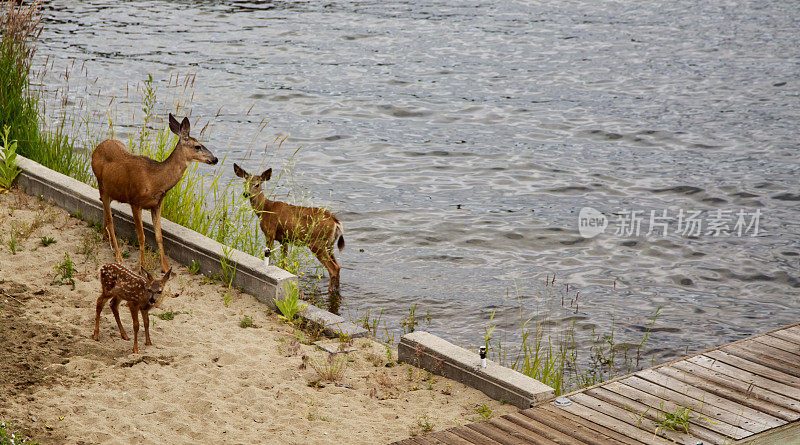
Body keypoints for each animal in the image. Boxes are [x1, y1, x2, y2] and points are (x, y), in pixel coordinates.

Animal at [91, 112, 219, 272]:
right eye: (197, 146)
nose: (215, 159)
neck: (155, 180)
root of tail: (97, 148)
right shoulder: (135, 201)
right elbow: (142, 237)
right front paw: (142, 267)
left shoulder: (157, 204)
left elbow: (159, 236)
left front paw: (165, 267)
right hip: (102, 185)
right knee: (110, 220)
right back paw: (118, 255)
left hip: (110, 190)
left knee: (104, 211)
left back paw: (105, 238)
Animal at [231, 163, 344, 292]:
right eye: (244, 183)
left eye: (257, 184)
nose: (246, 194)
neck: (265, 209)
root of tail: (335, 221)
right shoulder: (284, 239)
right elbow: (284, 264)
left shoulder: (270, 233)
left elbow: (271, 258)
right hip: (329, 244)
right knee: (338, 267)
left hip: (317, 243)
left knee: (333, 268)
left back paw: (330, 290)